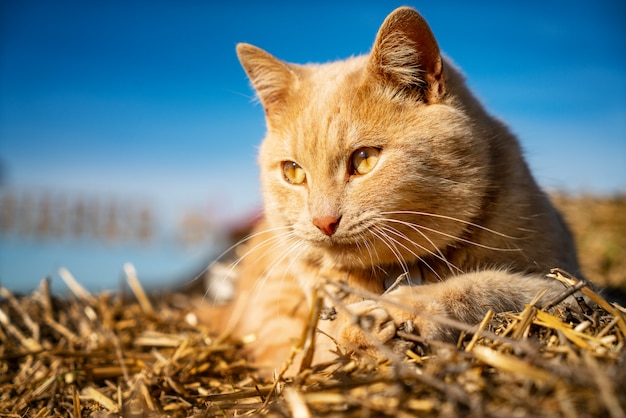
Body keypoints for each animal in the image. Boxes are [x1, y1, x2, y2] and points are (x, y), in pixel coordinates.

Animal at [202, 5, 576, 372]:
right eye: (292, 172)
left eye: (364, 159)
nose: (324, 222)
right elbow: (316, 343)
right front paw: (358, 329)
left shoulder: (564, 284)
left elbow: (491, 284)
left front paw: (410, 307)